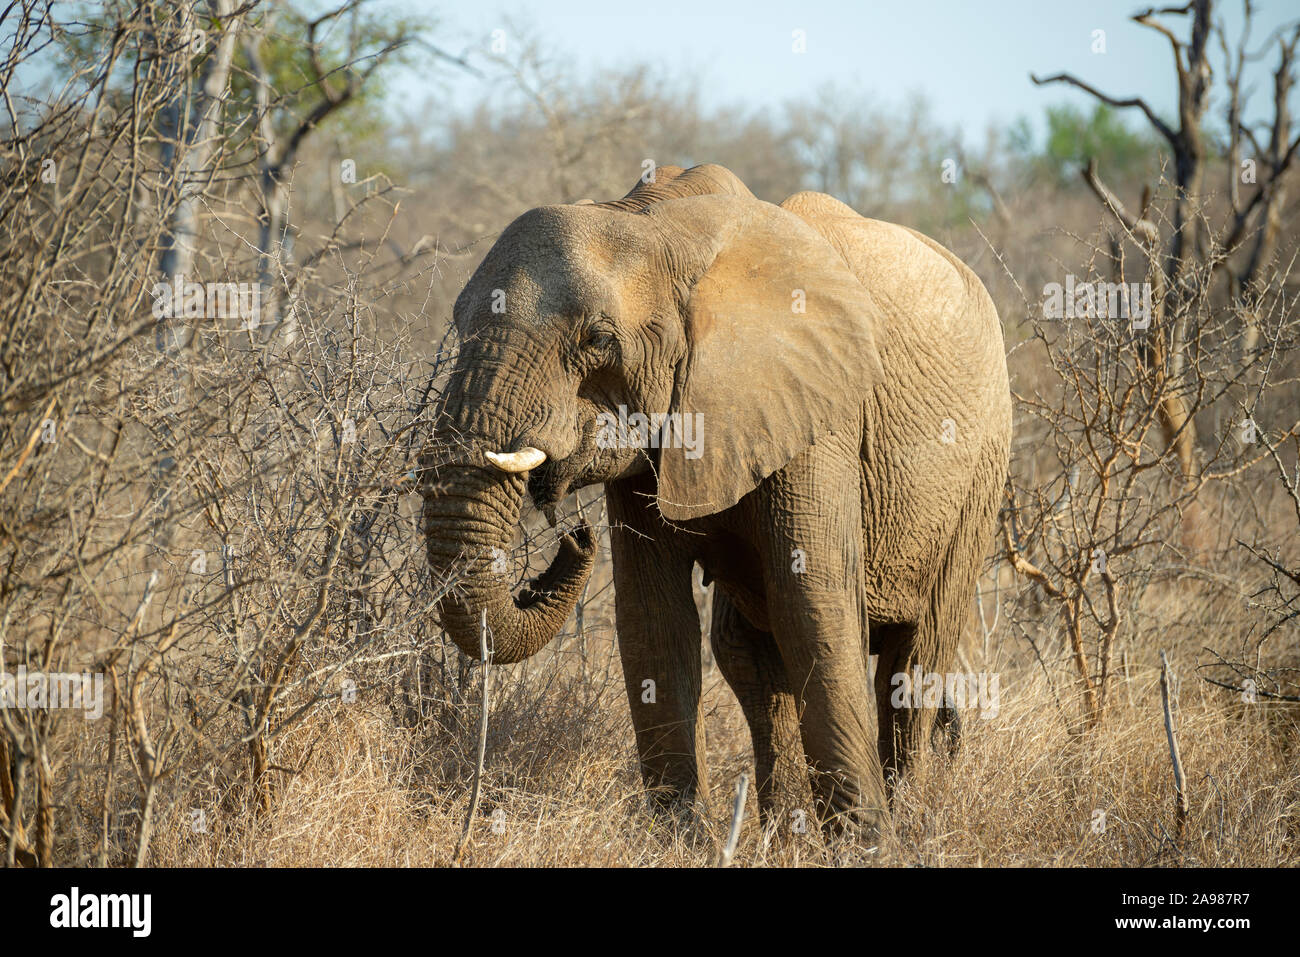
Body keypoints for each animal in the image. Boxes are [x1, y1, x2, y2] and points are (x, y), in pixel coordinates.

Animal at [421, 164, 1008, 837]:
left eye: (598, 340)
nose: (573, 533)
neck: (661, 224)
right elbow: (654, 620)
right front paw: (678, 840)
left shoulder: (818, 411)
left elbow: (817, 607)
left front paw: (868, 843)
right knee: (747, 651)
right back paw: (785, 834)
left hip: (979, 478)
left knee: (915, 659)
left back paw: (907, 817)